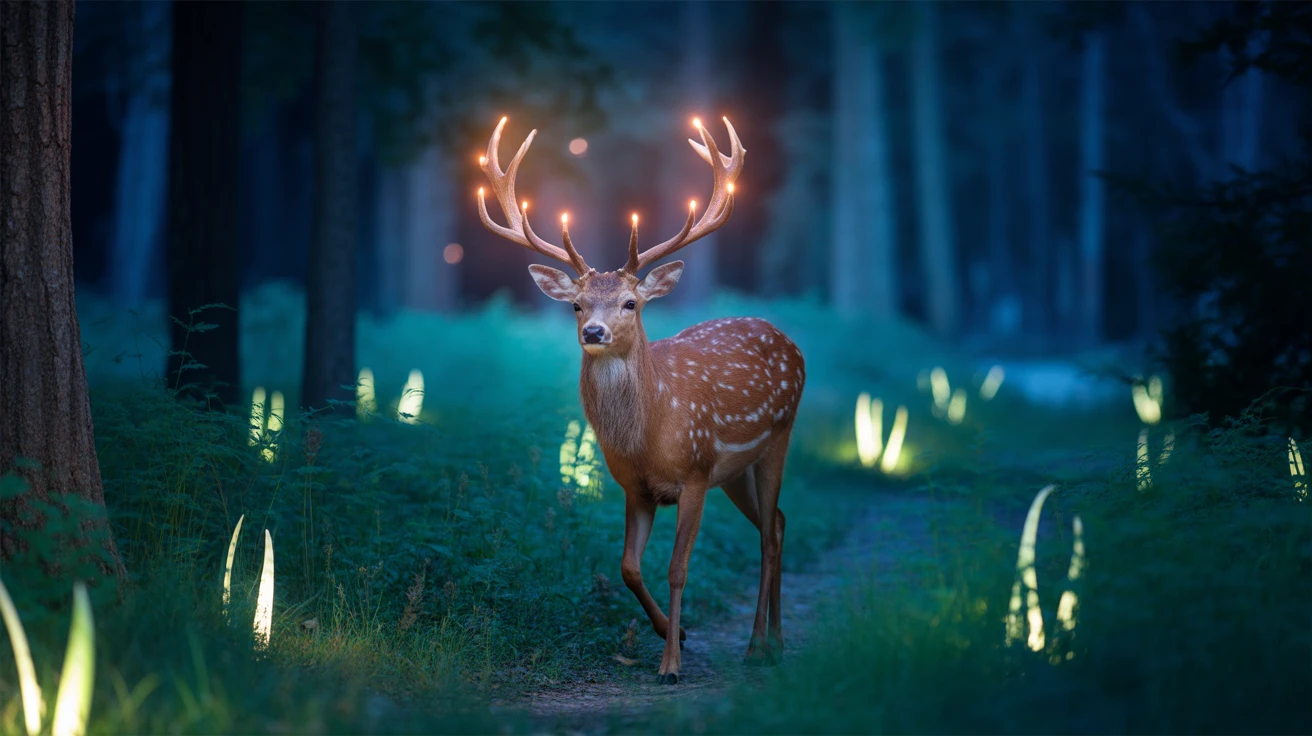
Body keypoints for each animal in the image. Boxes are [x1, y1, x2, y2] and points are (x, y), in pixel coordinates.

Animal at [475, 115, 805, 684]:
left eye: (630, 302)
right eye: (577, 304)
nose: (595, 332)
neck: (651, 433)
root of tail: (790, 342)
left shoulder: (694, 471)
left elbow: (677, 568)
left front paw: (670, 664)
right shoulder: (635, 486)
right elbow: (628, 567)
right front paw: (674, 633)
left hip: (778, 435)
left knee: (767, 535)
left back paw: (762, 647)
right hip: (734, 471)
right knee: (779, 523)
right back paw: (770, 643)